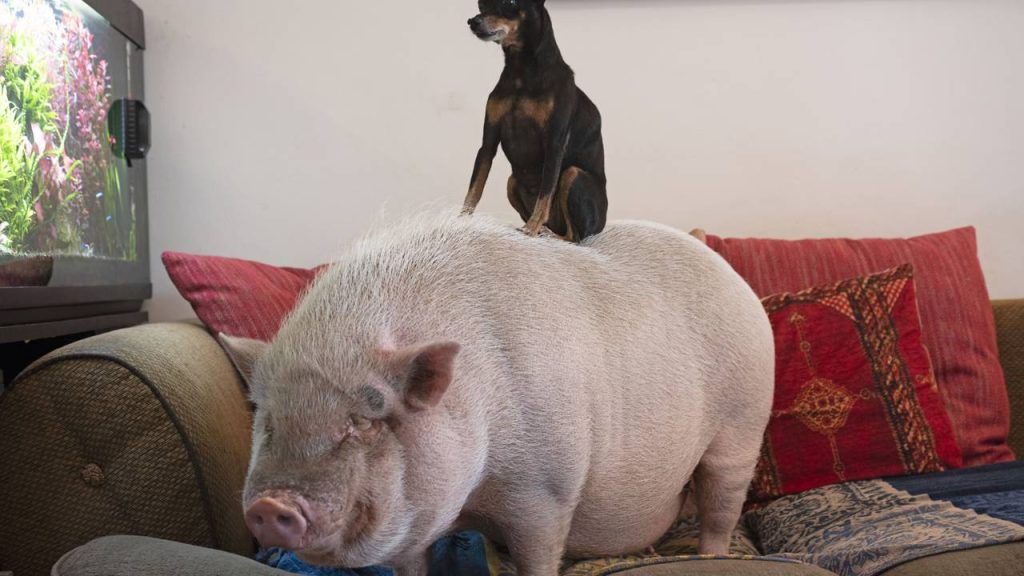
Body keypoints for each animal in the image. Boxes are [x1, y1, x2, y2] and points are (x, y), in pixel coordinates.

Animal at [220, 212, 774, 576]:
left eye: (365, 419)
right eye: (268, 421)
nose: (270, 505)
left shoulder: (546, 489)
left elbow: (537, 555)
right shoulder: (419, 521)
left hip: (743, 421)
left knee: (721, 503)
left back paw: (708, 557)